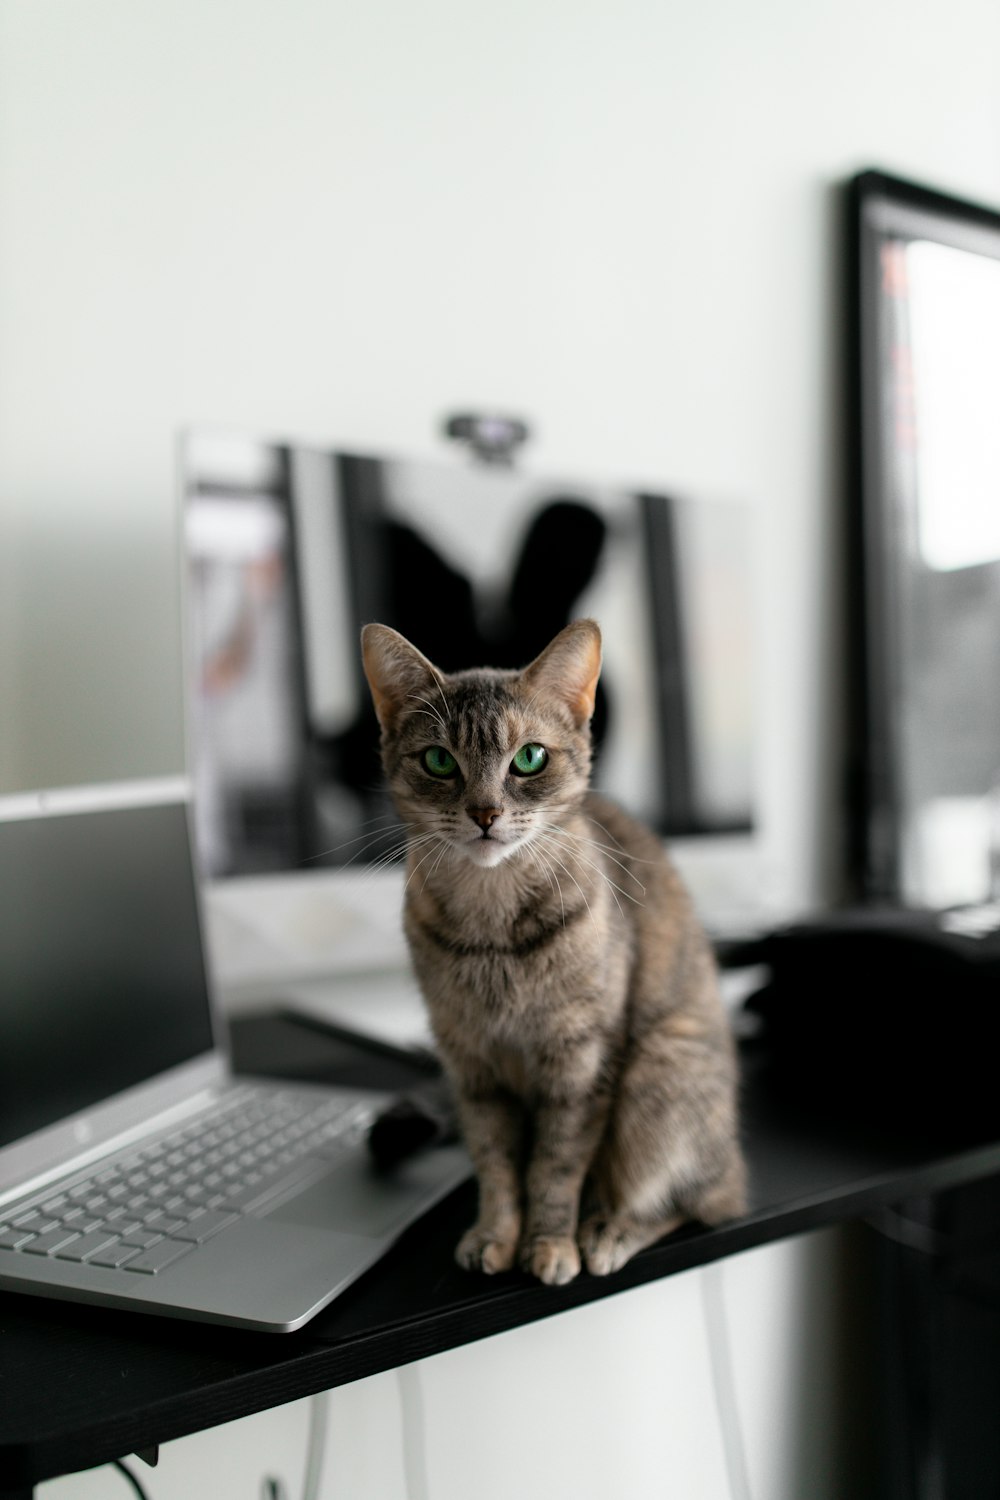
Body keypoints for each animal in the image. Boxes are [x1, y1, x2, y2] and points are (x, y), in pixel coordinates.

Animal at [364, 615, 746, 1284]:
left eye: (529, 758)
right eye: (438, 760)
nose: (485, 813)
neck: (492, 930)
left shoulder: (580, 1063)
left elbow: (555, 1166)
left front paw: (549, 1244)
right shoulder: (472, 1068)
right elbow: (495, 1165)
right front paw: (496, 1235)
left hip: (658, 1075)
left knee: (704, 1200)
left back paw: (608, 1231)